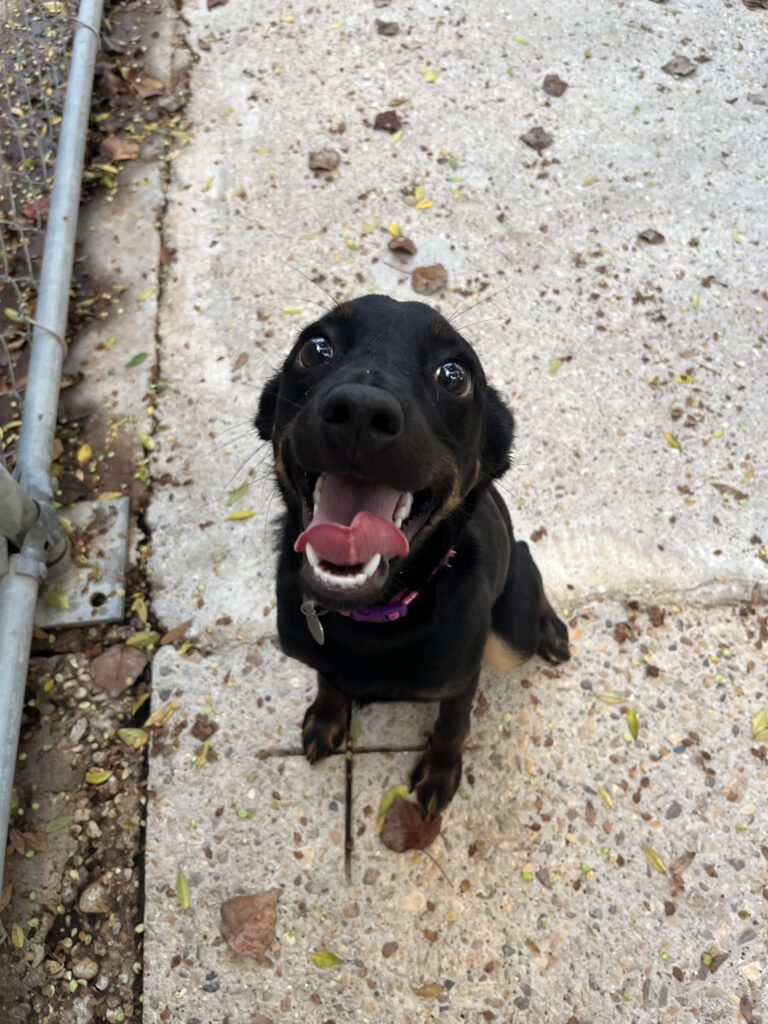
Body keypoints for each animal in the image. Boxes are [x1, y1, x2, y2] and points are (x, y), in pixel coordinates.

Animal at [260, 294, 573, 815]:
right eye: (315, 349)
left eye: (454, 375)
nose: (361, 411)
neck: (373, 617)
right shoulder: (321, 656)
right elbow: (328, 681)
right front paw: (327, 719)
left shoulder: (462, 680)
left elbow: (452, 727)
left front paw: (439, 773)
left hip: (509, 642)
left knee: (526, 562)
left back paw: (549, 626)